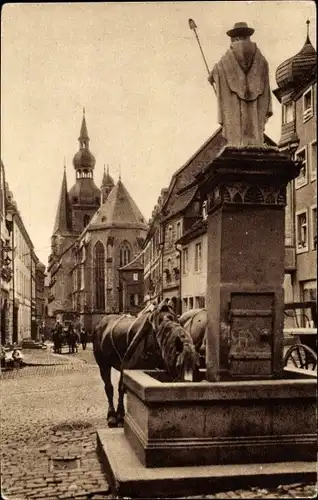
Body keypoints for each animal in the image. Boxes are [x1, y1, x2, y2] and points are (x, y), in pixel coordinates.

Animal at [92, 298, 199, 428]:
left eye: (196, 366)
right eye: (179, 365)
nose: (187, 385)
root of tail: (100, 323)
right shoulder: (128, 367)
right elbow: (122, 388)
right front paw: (120, 416)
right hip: (103, 364)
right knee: (109, 387)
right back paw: (112, 416)